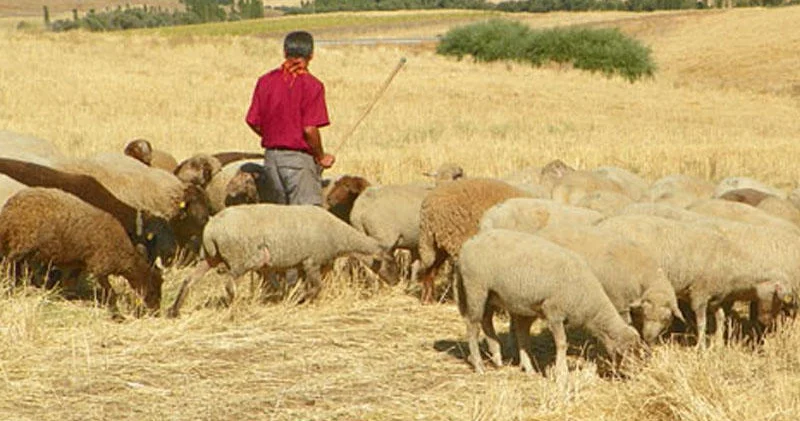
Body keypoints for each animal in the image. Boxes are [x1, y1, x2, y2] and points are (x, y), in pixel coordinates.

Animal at [0, 187, 164, 316]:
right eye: (153, 288)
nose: (156, 312)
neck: (122, 253)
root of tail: (8, 209)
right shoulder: (99, 268)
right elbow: (111, 293)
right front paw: (116, 313)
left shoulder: (79, 264)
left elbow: (69, 284)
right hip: (22, 244)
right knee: (7, 263)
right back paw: (8, 287)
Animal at [168, 203, 400, 316]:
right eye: (389, 262)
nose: (397, 282)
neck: (340, 237)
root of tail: (211, 229)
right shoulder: (311, 261)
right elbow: (316, 287)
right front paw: (301, 300)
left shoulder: (300, 265)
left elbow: (299, 286)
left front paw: (291, 299)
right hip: (238, 260)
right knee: (229, 285)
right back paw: (236, 308)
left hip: (210, 258)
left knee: (189, 280)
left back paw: (174, 310)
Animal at [454, 228, 640, 376]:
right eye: (629, 349)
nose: (637, 372)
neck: (590, 304)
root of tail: (468, 243)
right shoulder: (553, 312)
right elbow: (561, 343)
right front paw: (561, 373)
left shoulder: (529, 309)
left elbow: (524, 338)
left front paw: (529, 368)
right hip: (476, 287)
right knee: (472, 325)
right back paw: (479, 365)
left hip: (492, 294)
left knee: (486, 320)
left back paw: (497, 357)